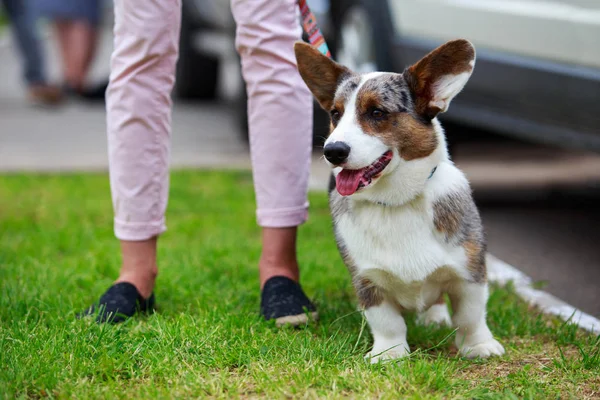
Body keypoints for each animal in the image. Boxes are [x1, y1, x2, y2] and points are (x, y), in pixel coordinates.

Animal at [296, 40, 506, 362]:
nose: (332, 151)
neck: (396, 202)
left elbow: (471, 316)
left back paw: (434, 318)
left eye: (377, 112)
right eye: (335, 114)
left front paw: (479, 346)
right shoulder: (368, 280)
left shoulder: (470, 274)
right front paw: (389, 354)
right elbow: (387, 322)